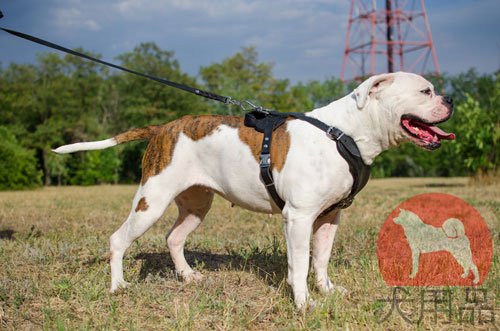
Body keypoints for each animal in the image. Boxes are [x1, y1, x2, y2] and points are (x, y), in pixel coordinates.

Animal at [54, 71, 458, 310]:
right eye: (425, 91)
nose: (451, 99)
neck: (345, 133)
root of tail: (163, 128)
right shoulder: (298, 218)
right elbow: (299, 265)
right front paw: (304, 304)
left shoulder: (329, 217)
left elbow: (320, 260)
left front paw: (327, 291)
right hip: (150, 201)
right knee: (117, 240)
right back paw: (118, 286)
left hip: (196, 205)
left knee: (174, 238)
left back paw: (187, 276)